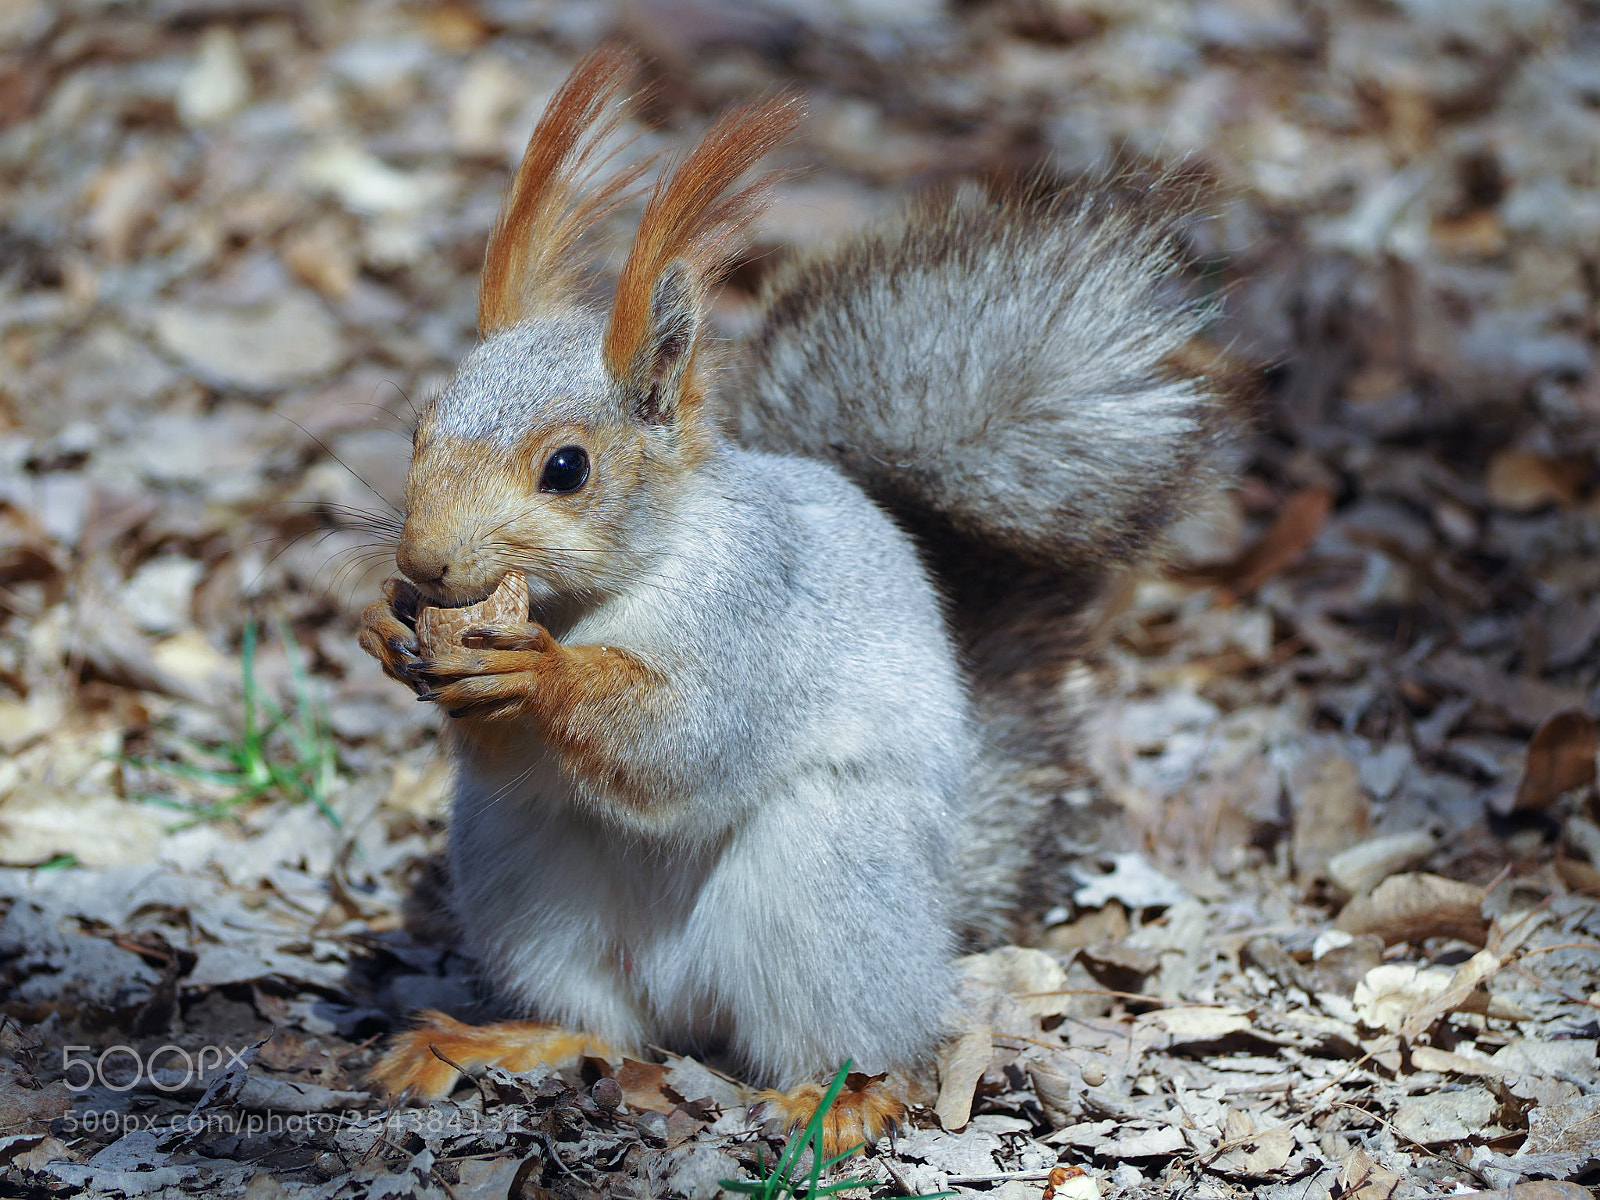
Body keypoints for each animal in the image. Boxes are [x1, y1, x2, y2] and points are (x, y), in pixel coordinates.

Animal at [357, 43, 1236, 1148]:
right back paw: (502, 1041)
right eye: (418, 430)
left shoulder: (755, 614)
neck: (606, 591)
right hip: (527, 879)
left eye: (567, 468)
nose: (425, 564)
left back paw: (839, 1101)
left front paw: (543, 674)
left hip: (827, 882)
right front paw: (387, 628)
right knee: (602, 1027)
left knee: (865, 1043)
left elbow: (689, 741)